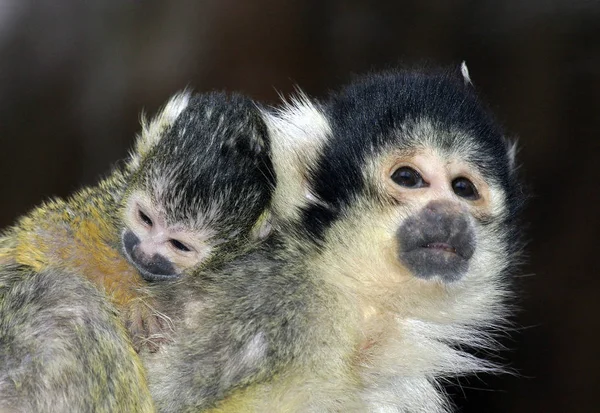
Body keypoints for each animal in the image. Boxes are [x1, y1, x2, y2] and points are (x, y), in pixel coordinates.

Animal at [0, 91, 274, 350]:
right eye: (145, 219)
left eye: (179, 245)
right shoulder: (111, 199)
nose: (144, 252)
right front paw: (132, 296)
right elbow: (54, 235)